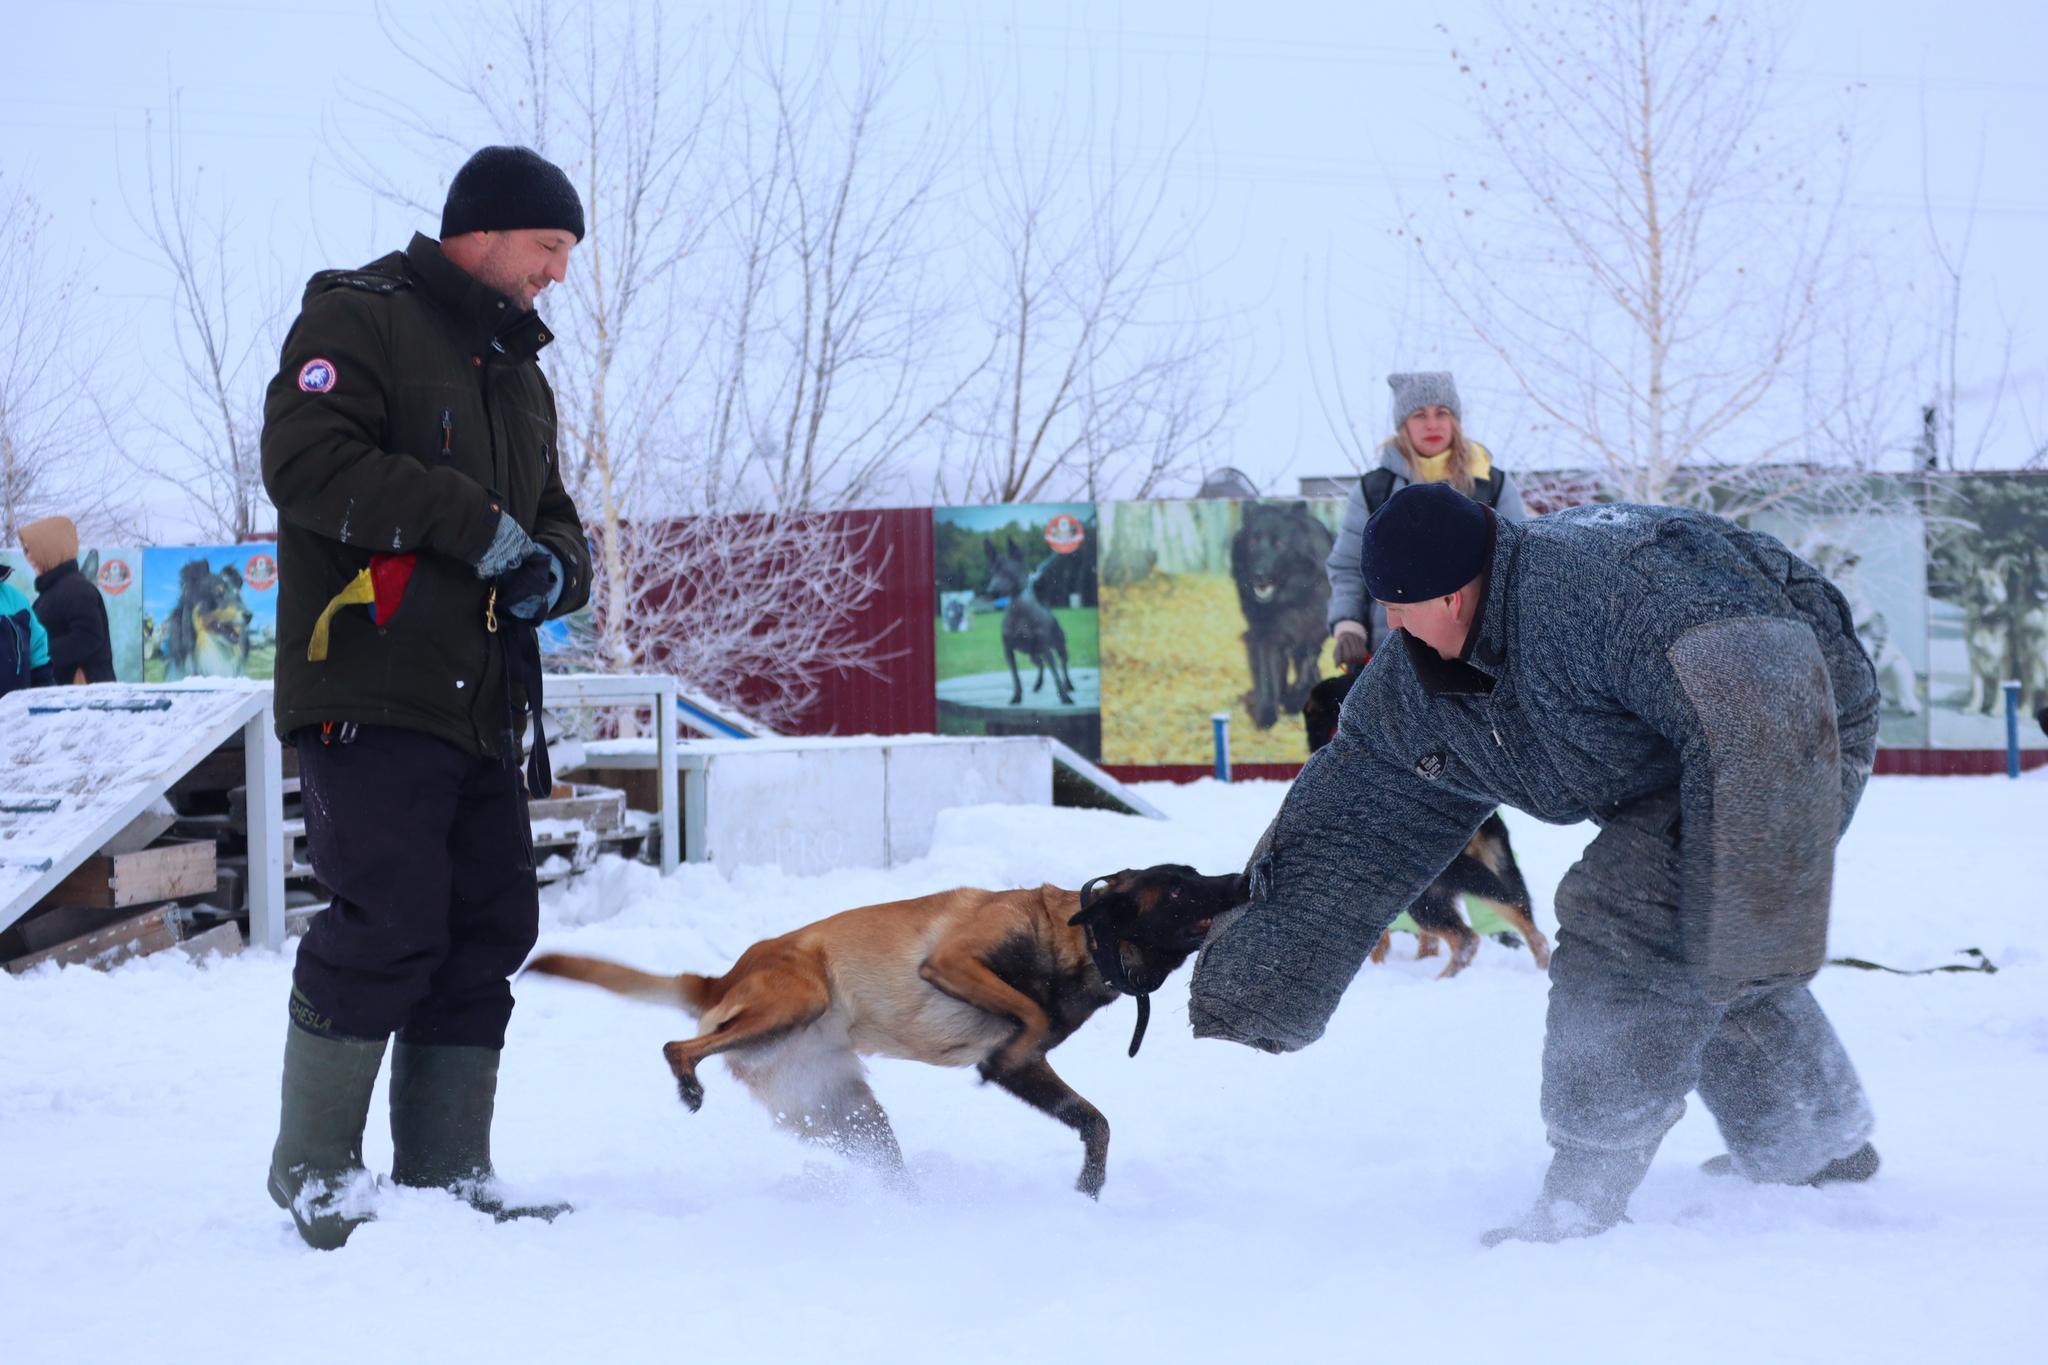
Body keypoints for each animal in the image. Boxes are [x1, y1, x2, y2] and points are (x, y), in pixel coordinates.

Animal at [520, 871, 1236, 1203]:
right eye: (1179, 886)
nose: (1237, 879)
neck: (1077, 940)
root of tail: (723, 977)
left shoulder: (1027, 1070)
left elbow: (1094, 1121)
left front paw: (1089, 1191)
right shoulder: (952, 963)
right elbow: (1024, 1017)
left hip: (850, 1115)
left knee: (890, 1170)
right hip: (800, 997)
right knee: (677, 1048)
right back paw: (687, 1084)